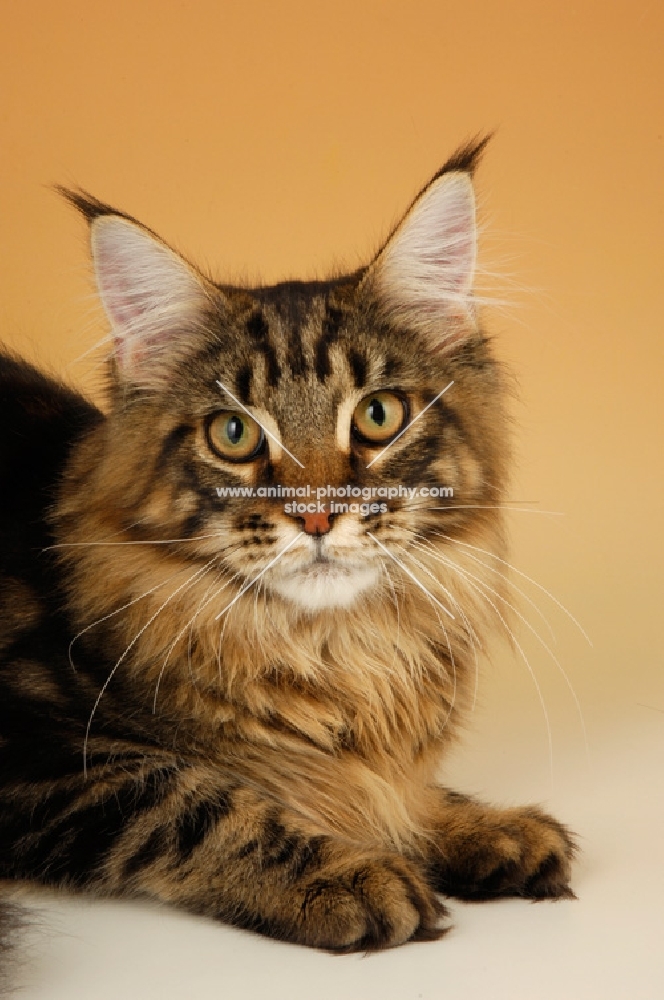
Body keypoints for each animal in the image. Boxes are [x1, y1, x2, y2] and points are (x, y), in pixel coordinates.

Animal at [0, 137, 576, 964]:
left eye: (378, 416)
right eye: (234, 433)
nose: (316, 518)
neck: (335, 654)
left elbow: (389, 791)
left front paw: (466, 824)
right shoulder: (39, 749)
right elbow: (191, 796)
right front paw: (346, 873)